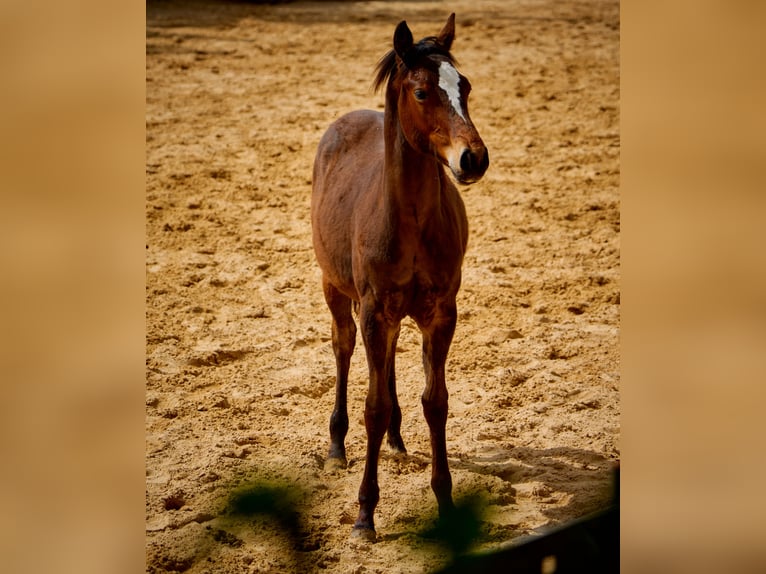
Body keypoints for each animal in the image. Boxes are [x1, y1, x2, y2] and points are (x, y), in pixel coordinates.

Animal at [311, 13, 489, 541]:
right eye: (422, 91)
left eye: (464, 86)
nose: (473, 158)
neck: (408, 219)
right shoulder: (374, 310)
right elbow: (374, 406)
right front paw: (365, 515)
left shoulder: (440, 313)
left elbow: (436, 401)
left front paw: (446, 503)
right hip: (335, 288)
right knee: (344, 348)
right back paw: (336, 446)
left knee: (387, 362)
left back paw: (396, 440)